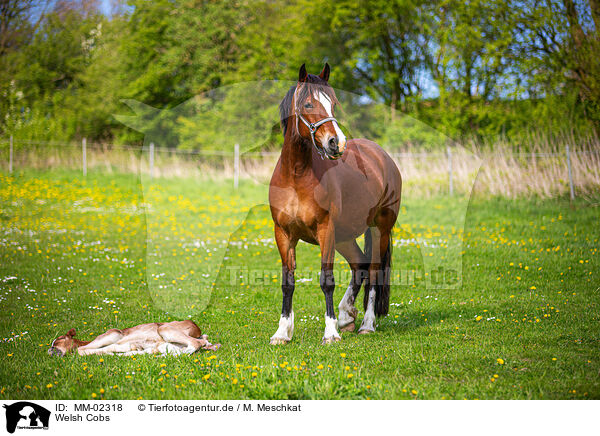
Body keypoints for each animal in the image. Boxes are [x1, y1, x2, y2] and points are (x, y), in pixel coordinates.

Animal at [268, 64, 400, 344]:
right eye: (308, 104)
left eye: (334, 104)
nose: (336, 142)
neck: (296, 177)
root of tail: (382, 156)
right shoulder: (283, 234)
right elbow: (287, 281)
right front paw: (282, 332)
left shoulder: (325, 230)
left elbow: (326, 280)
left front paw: (330, 333)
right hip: (344, 236)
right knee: (359, 265)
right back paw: (346, 315)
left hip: (378, 230)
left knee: (373, 272)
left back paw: (366, 324)